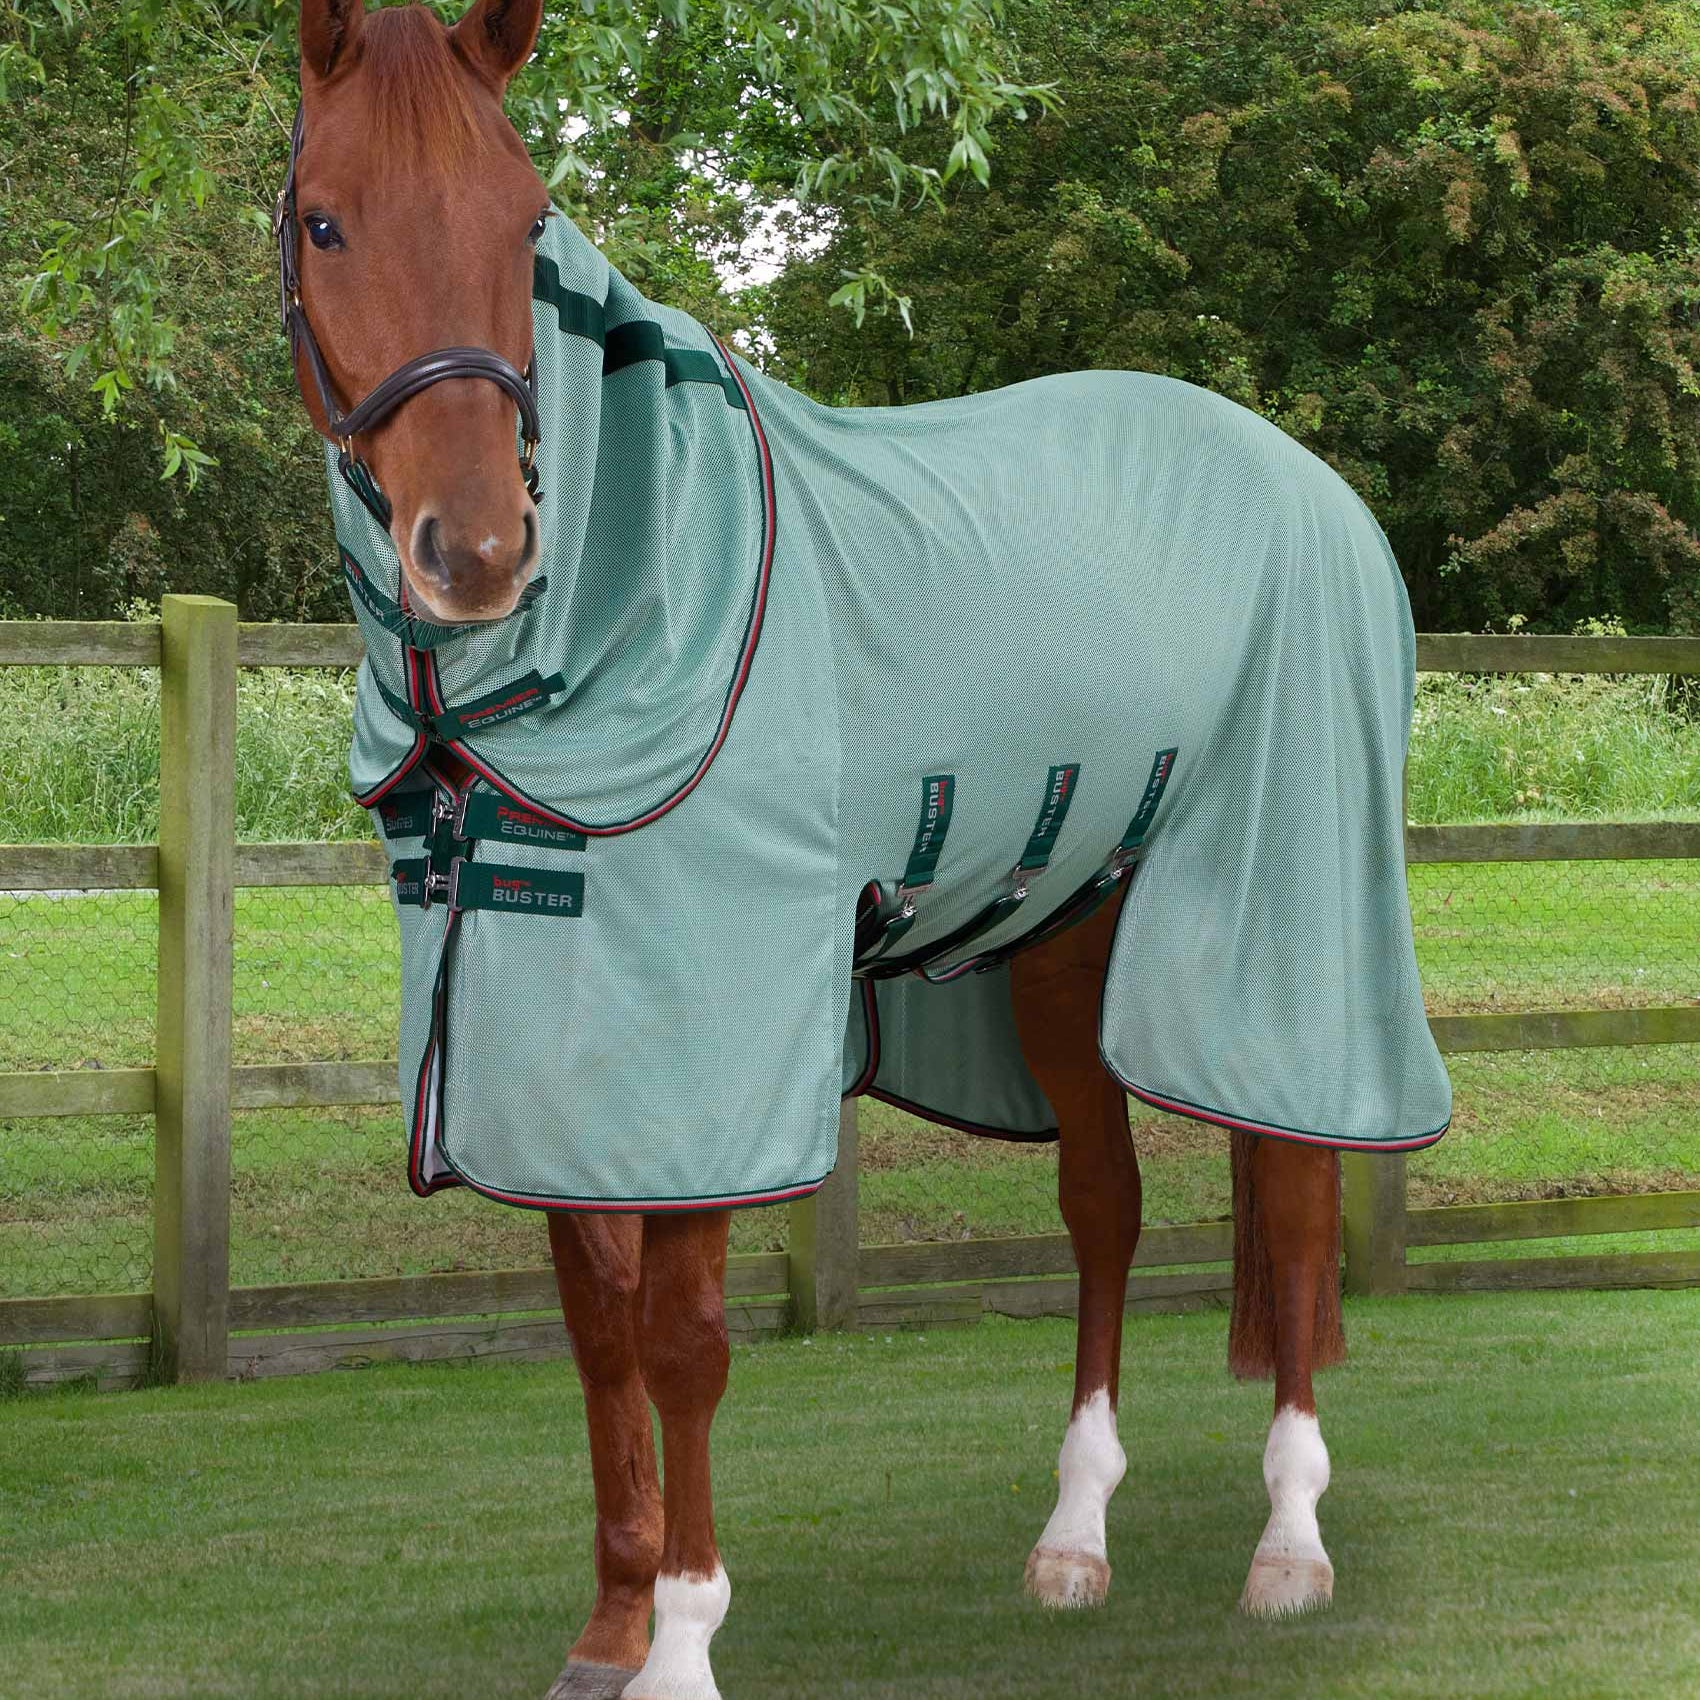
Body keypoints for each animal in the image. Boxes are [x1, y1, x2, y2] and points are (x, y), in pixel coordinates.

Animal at [280, 4, 1449, 1696]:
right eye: (325, 220)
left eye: (523, 225)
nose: (478, 552)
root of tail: (1297, 473)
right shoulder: (546, 1028)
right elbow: (597, 1327)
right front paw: (608, 1633)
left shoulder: (707, 1033)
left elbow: (683, 1344)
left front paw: (684, 1643)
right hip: (1066, 936)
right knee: (1105, 1207)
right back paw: (1074, 1540)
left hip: (1284, 910)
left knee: (1294, 1197)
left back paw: (1288, 1548)